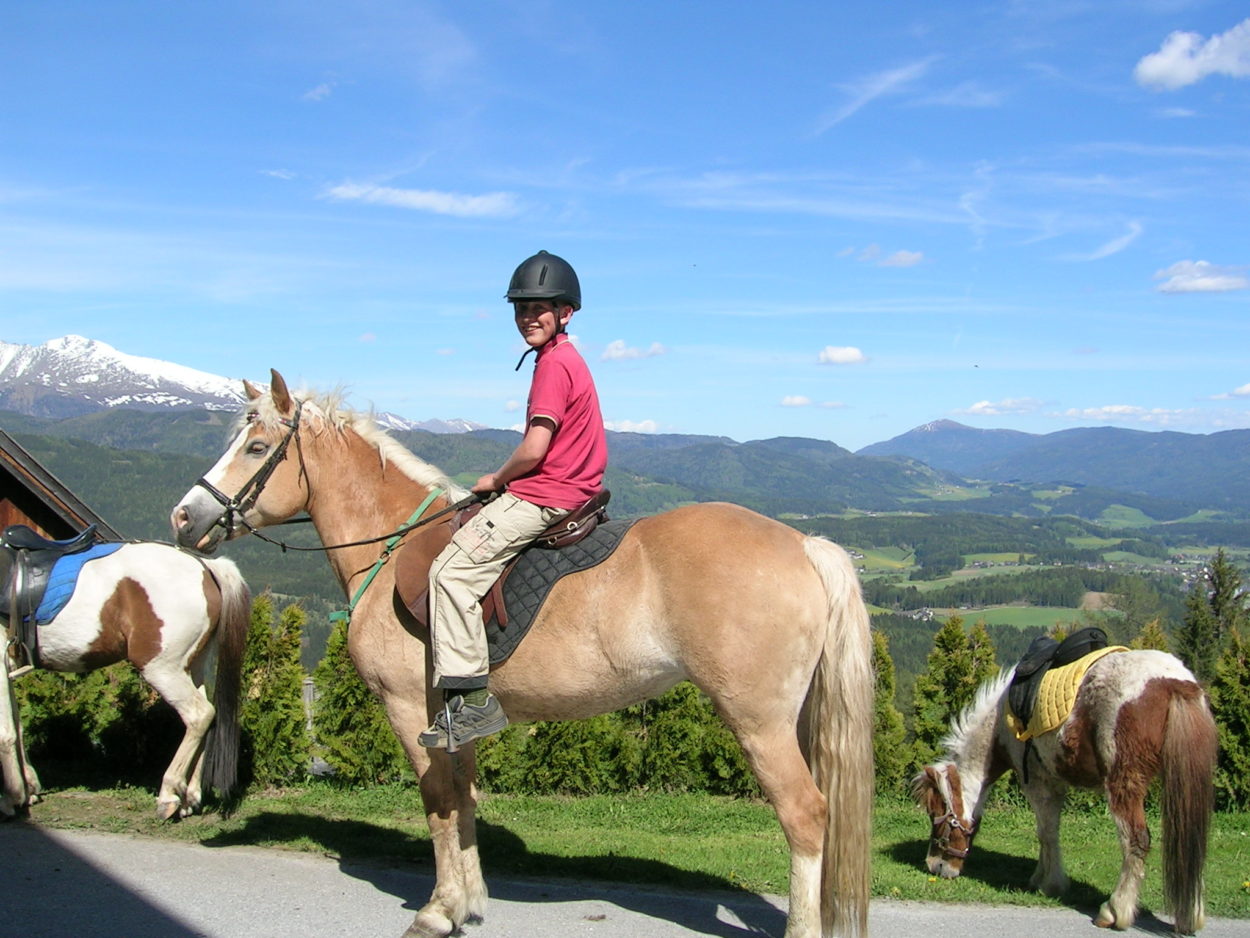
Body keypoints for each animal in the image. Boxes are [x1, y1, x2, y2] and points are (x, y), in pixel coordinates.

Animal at [1, 547, 251, 820]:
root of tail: (204, 566)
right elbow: (17, 726)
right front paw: (28, 790)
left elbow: (6, 733)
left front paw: (12, 798)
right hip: (193, 666)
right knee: (207, 717)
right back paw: (189, 797)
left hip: (162, 670)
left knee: (199, 714)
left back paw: (169, 794)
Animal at [166, 372, 875, 938]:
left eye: (257, 448)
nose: (182, 517)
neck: (391, 545)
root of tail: (805, 545)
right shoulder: (455, 716)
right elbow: (463, 800)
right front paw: (468, 902)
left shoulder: (408, 711)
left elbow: (438, 802)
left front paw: (438, 911)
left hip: (758, 721)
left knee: (805, 815)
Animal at [915, 650, 1215, 935]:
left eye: (937, 815)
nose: (934, 865)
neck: (1002, 724)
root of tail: (1175, 683)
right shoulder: (1055, 785)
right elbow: (1050, 833)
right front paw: (1041, 878)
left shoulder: (1039, 784)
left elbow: (1046, 833)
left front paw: (1050, 883)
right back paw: (1191, 916)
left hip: (1123, 784)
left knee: (1136, 841)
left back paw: (1114, 911)